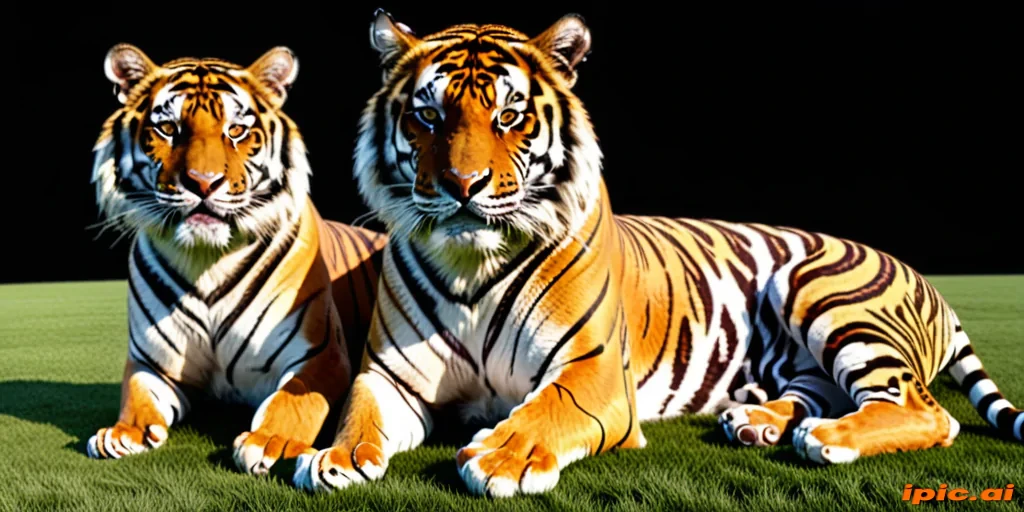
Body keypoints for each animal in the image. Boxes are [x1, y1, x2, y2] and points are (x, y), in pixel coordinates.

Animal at [86, 43, 387, 477]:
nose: (203, 182)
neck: (206, 262)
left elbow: (293, 400)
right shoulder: (152, 362)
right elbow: (137, 395)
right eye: (169, 129)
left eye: (236, 131)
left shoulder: (320, 355)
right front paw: (124, 432)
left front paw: (271, 441)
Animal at [293, 10, 1022, 497]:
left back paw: (826, 439)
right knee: (821, 390)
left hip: (823, 292)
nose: (461, 185)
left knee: (926, 412)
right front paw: (334, 458)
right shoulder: (391, 375)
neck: (475, 263)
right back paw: (758, 422)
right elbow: (358, 411)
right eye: (429, 116)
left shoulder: (593, 371)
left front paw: (502, 457)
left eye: (509, 117)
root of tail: (920, 274)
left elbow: (549, 410)